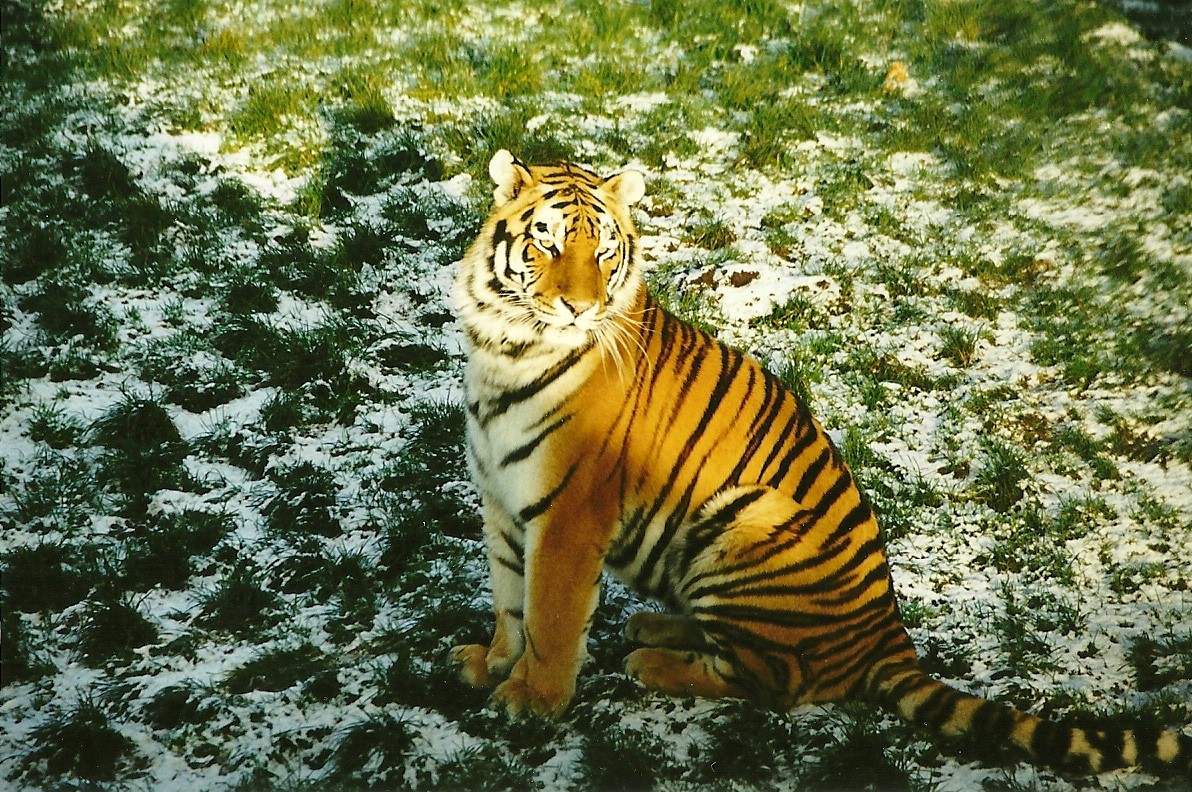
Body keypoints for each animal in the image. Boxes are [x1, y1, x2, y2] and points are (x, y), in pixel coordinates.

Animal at [449, 149, 1191, 776]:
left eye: (604, 251)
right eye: (547, 242)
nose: (581, 308)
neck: (506, 349)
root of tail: (888, 632)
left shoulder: (569, 514)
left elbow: (549, 615)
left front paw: (534, 701)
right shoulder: (502, 501)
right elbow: (511, 599)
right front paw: (493, 663)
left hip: (745, 516)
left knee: (773, 679)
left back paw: (650, 658)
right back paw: (654, 625)